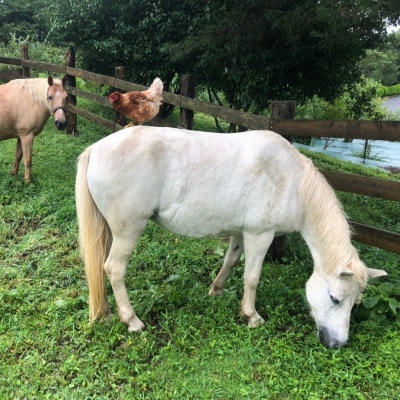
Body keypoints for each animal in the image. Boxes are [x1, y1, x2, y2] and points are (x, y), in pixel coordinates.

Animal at [76, 126, 388, 348]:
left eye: (355, 303)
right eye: (334, 298)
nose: (337, 344)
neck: (293, 181)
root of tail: (95, 149)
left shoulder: (241, 232)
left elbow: (230, 261)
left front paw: (216, 290)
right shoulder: (260, 235)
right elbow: (252, 277)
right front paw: (251, 316)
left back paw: (106, 312)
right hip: (128, 231)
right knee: (114, 269)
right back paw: (132, 321)